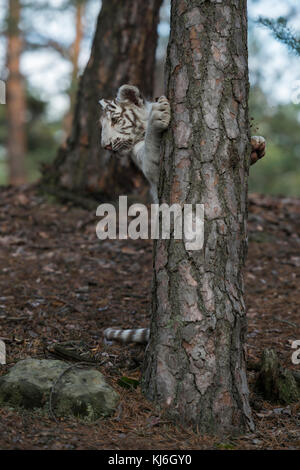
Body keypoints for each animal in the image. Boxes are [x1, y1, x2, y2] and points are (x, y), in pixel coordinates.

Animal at [99, 82, 266, 344]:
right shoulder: (150, 166)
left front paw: (257, 144)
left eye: (115, 120)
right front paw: (158, 116)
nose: (105, 146)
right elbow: (152, 147)